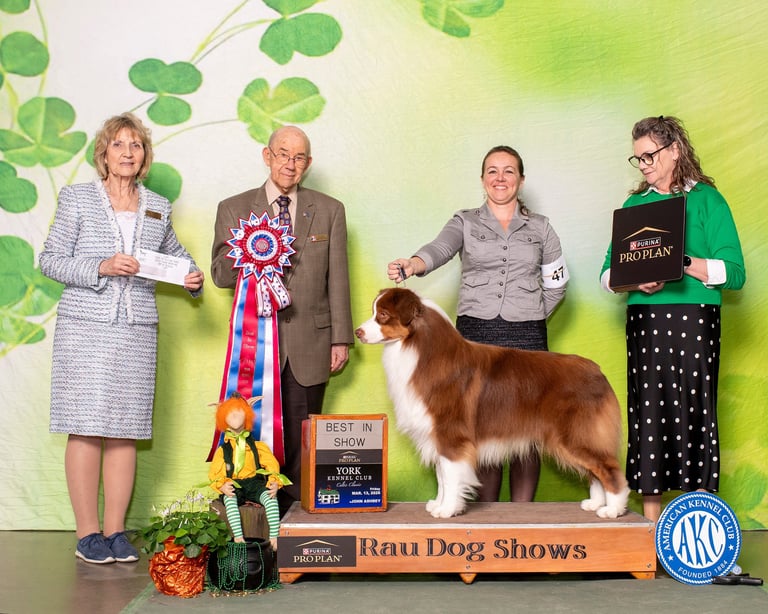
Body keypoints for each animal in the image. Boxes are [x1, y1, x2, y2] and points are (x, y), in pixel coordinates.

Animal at [355, 287, 629, 519]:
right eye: (374, 311)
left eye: (383, 315)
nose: (358, 332)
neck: (419, 349)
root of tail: (598, 371)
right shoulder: (437, 436)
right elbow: (442, 475)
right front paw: (439, 504)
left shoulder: (450, 433)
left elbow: (450, 475)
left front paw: (447, 509)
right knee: (595, 472)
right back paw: (595, 503)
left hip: (576, 434)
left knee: (609, 468)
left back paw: (612, 510)